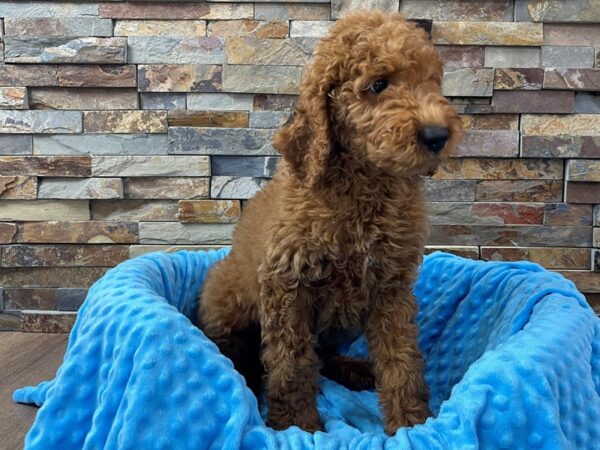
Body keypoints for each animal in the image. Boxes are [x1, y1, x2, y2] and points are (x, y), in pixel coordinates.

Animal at [199, 11, 462, 436]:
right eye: (378, 84)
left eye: (432, 82)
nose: (438, 135)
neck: (366, 185)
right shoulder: (288, 285)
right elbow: (291, 361)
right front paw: (295, 424)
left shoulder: (390, 288)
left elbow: (401, 357)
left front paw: (410, 422)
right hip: (227, 297)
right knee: (238, 351)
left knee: (323, 356)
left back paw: (356, 370)